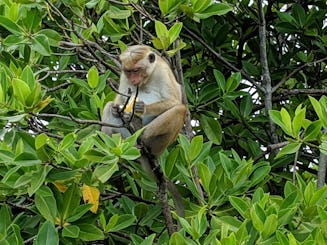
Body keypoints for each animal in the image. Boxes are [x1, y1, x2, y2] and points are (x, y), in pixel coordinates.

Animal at [101, 44, 186, 226]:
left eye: (137, 70)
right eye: (129, 72)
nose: (133, 81)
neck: (149, 76)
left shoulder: (162, 72)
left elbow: (175, 101)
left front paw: (142, 108)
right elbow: (119, 100)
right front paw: (117, 109)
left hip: (159, 145)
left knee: (180, 109)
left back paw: (144, 137)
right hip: (123, 135)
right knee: (108, 106)